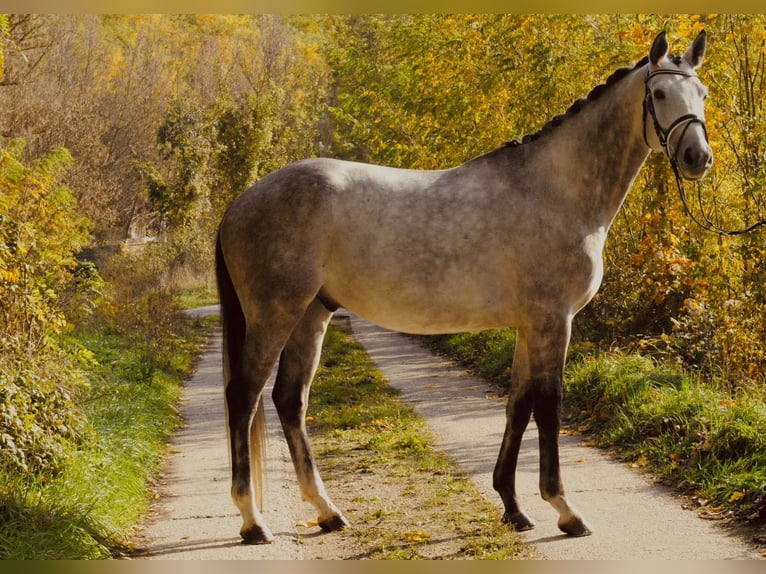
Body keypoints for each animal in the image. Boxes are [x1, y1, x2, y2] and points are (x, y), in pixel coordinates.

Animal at [215, 30, 712, 544]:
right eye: (659, 94)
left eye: (703, 95)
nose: (697, 158)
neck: (555, 190)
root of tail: (239, 204)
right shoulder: (553, 321)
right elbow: (549, 406)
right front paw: (563, 509)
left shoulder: (529, 325)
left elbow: (518, 405)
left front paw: (513, 507)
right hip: (275, 314)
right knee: (245, 396)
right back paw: (253, 520)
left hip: (311, 315)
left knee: (289, 400)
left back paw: (327, 511)